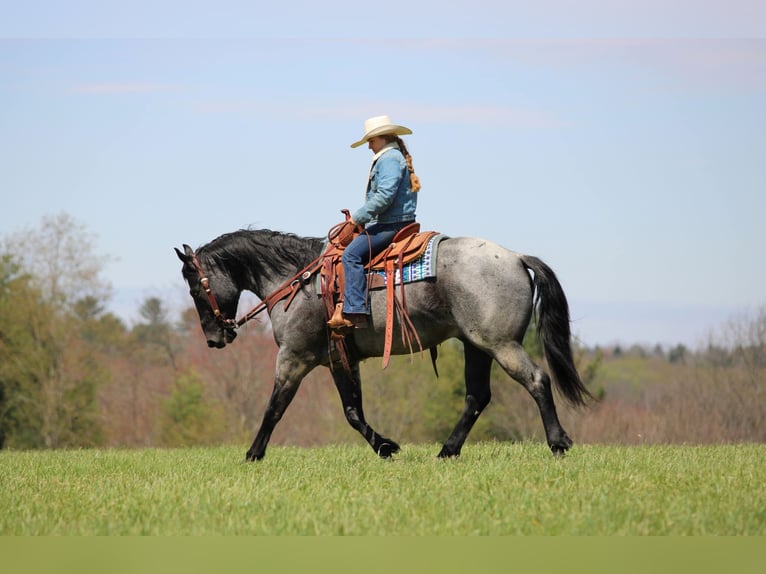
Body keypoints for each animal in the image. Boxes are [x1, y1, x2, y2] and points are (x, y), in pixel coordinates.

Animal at [175, 229, 592, 461]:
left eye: (195, 288)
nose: (215, 339)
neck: (298, 281)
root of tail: (516, 257)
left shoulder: (294, 358)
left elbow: (275, 408)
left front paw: (252, 454)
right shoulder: (340, 360)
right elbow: (352, 411)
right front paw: (386, 447)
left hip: (500, 345)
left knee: (537, 381)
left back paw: (558, 443)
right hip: (476, 346)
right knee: (477, 397)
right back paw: (447, 451)